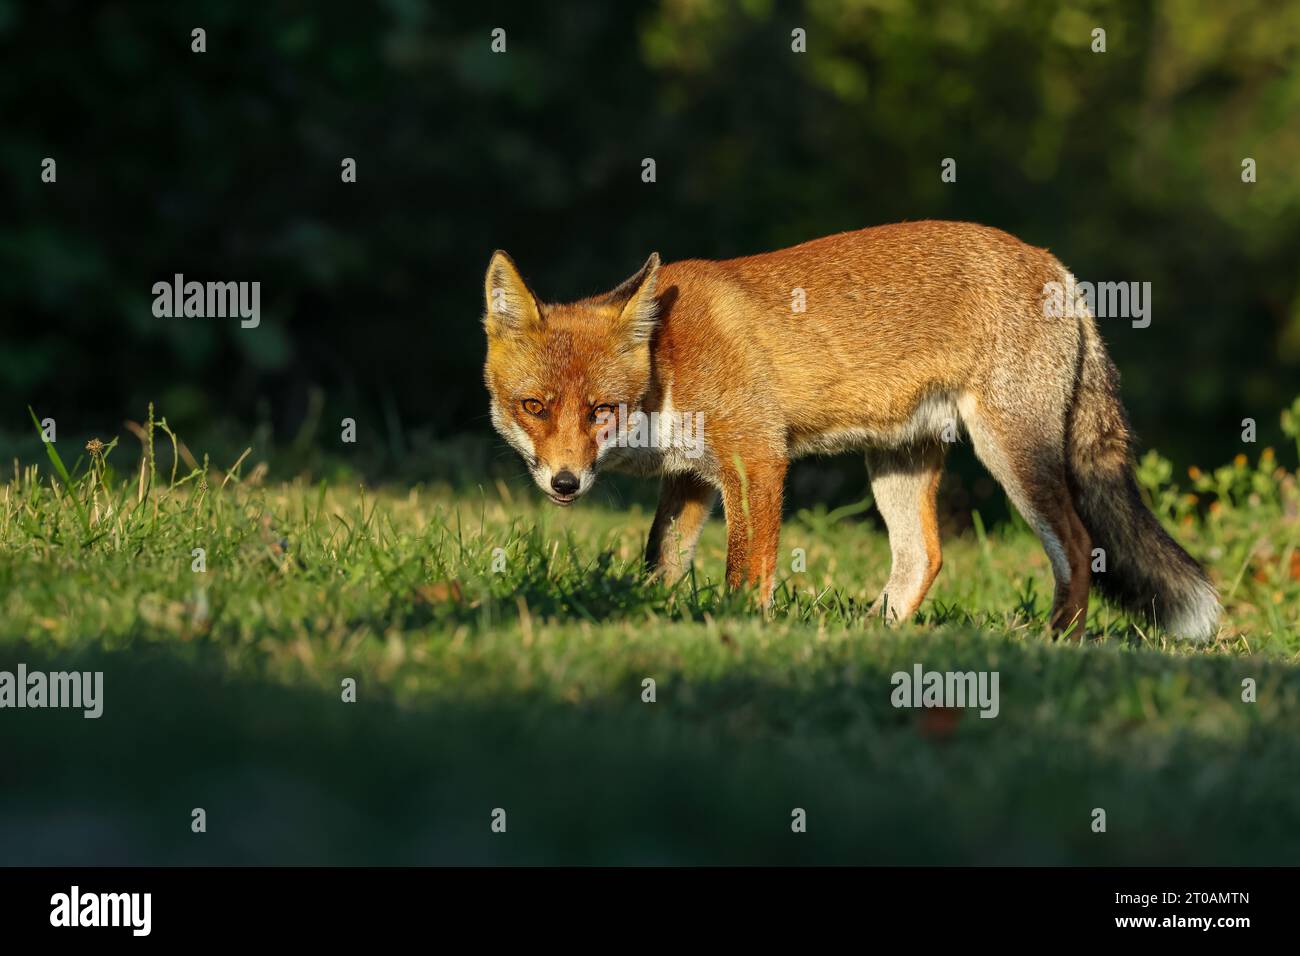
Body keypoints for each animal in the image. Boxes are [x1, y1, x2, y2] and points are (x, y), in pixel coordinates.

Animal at [483, 222, 1222, 642]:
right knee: (923, 557)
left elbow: (745, 568)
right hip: (898, 460)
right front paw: (655, 619)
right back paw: (875, 639)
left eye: (601, 411)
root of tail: (1055, 266)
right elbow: (661, 561)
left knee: (1076, 545)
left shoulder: (756, 456)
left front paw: (739, 629)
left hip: (1013, 451)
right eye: (534, 406)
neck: (666, 366)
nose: (565, 483)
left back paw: (1054, 642)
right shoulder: (691, 478)